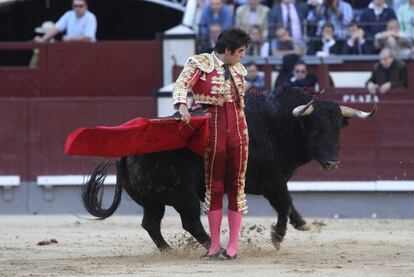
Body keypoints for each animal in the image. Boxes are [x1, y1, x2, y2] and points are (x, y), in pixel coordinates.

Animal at [81, 86, 376, 250]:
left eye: (338, 129)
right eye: (314, 129)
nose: (332, 163)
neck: (274, 123)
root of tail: (126, 149)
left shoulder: (274, 181)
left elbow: (288, 204)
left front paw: (300, 223)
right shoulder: (272, 181)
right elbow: (284, 203)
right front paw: (278, 236)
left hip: (155, 200)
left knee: (151, 224)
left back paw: (170, 250)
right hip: (183, 194)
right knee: (190, 222)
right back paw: (218, 248)